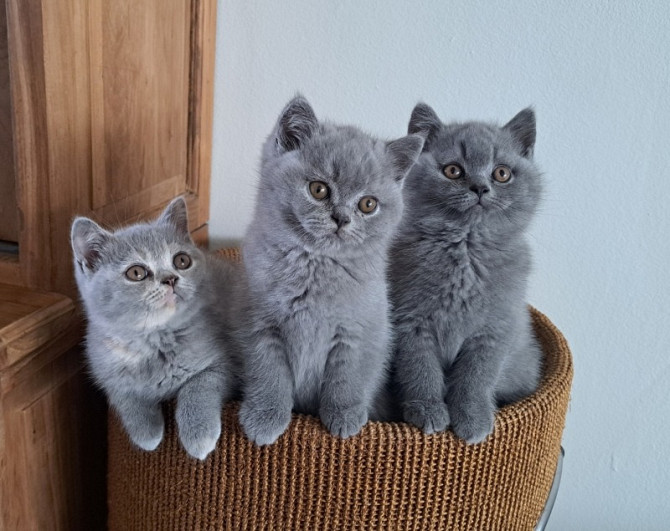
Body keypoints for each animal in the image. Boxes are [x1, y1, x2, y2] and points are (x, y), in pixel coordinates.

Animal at [70, 197, 239, 460]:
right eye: (136, 272)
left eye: (181, 260)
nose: (170, 278)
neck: (155, 341)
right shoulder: (105, 369)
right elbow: (124, 395)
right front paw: (147, 432)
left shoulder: (224, 363)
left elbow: (198, 386)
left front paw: (198, 436)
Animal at [239, 96, 422, 448]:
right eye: (319, 190)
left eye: (367, 204)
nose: (341, 218)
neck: (316, 266)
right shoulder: (259, 325)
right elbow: (268, 372)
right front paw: (264, 417)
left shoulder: (360, 331)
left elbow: (347, 376)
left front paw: (344, 416)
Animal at [392, 104, 544, 444]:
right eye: (453, 171)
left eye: (502, 173)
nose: (479, 188)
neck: (465, 250)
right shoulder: (411, 322)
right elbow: (420, 368)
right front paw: (428, 409)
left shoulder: (496, 328)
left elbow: (476, 376)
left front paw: (473, 418)